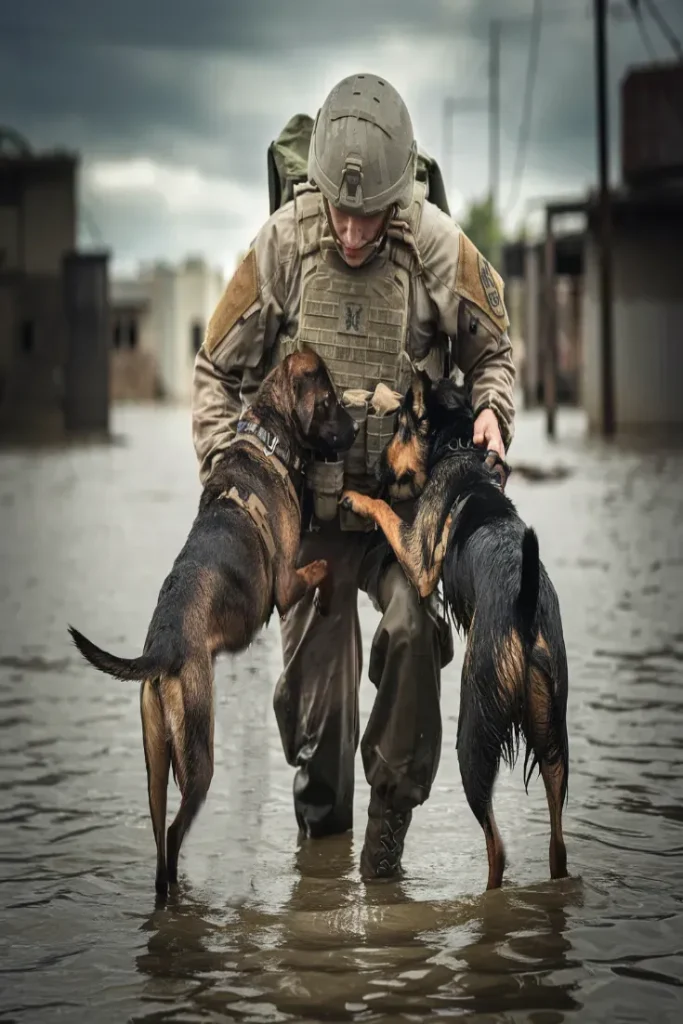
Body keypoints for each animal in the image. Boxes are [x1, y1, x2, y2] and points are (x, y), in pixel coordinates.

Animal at [69, 350, 358, 897]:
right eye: (329, 401)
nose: (356, 430)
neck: (266, 438)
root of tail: (160, 650)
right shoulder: (286, 584)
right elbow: (326, 568)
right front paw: (329, 597)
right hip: (199, 752)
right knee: (175, 835)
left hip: (157, 764)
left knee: (160, 841)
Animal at [342, 372, 573, 892]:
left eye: (400, 428)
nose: (375, 467)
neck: (458, 449)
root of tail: (525, 611)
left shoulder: (419, 556)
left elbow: (389, 513)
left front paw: (361, 499)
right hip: (553, 733)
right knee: (558, 845)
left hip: (474, 730)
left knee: (497, 846)